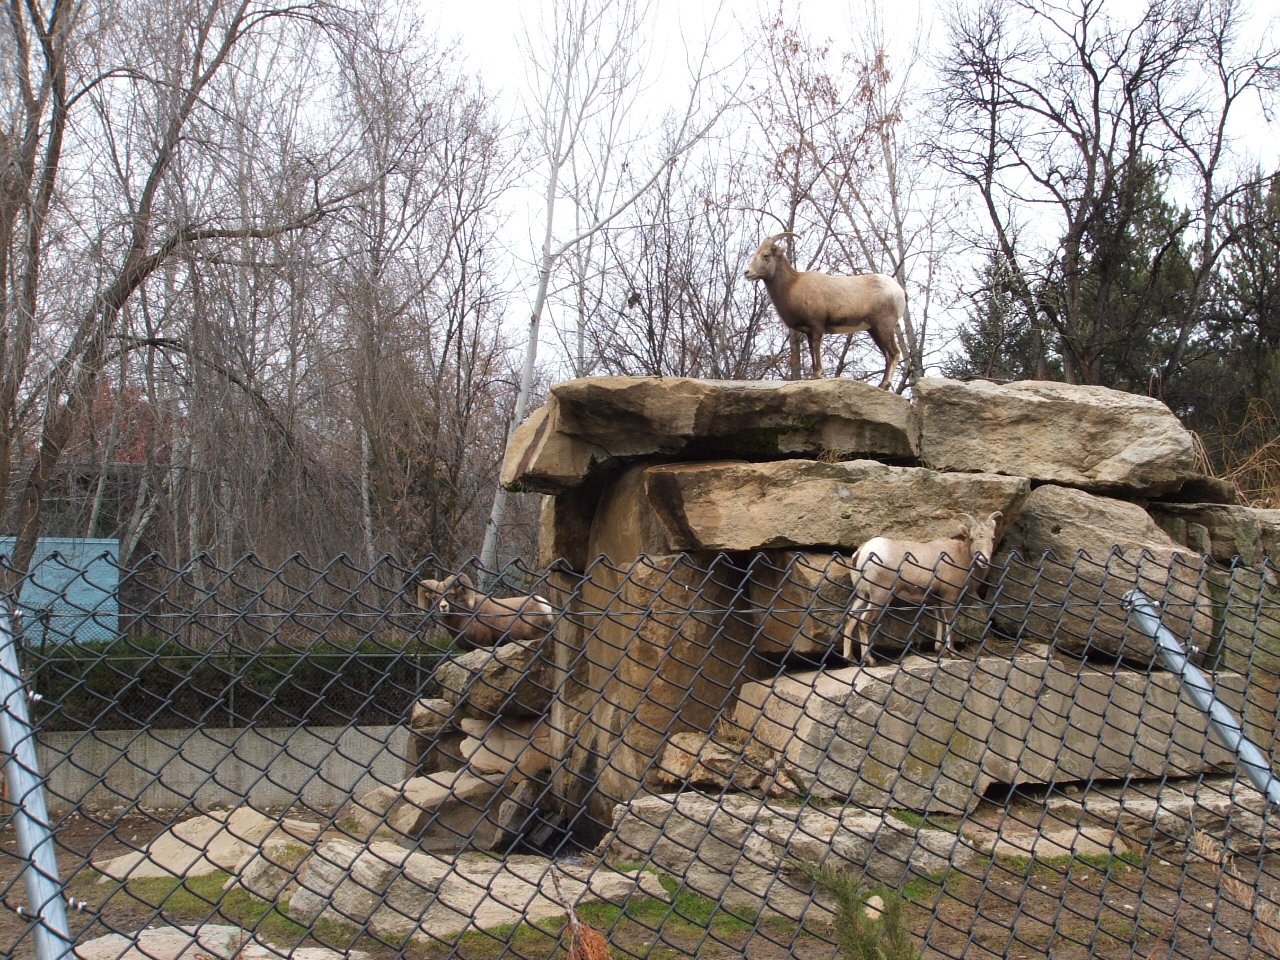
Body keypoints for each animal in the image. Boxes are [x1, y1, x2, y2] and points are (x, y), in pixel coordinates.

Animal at [417, 573, 555, 650]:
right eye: (434, 597)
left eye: (451, 594)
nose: (444, 607)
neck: (463, 618)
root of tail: (545, 607)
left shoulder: (483, 645)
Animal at [744, 232, 904, 389]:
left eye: (766, 255)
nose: (747, 272)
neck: (791, 286)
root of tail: (899, 291)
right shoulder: (808, 331)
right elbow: (811, 349)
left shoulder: (816, 326)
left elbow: (816, 346)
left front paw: (817, 374)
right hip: (874, 330)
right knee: (887, 355)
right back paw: (882, 385)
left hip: (884, 327)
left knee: (894, 353)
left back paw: (885, 384)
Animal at [841, 512, 1003, 665]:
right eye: (972, 538)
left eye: (992, 538)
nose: (983, 560)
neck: (961, 557)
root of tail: (861, 553)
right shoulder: (949, 598)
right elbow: (949, 623)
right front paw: (953, 653)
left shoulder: (937, 601)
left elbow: (940, 621)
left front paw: (941, 650)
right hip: (879, 596)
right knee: (864, 622)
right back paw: (870, 661)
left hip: (863, 595)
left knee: (851, 618)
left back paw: (850, 659)